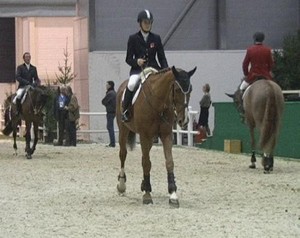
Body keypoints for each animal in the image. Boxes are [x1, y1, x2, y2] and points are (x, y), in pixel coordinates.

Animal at [115, 65, 197, 206]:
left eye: (190, 89)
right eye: (177, 89)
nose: (184, 121)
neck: (158, 102)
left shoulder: (166, 135)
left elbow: (169, 162)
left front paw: (173, 194)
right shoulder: (144, 135)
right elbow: (147, 163)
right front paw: (147, 194)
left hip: (151, 138)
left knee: (144, 155)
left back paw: (143, 184)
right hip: (124, 130)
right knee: (123, 154)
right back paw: (122, 186)